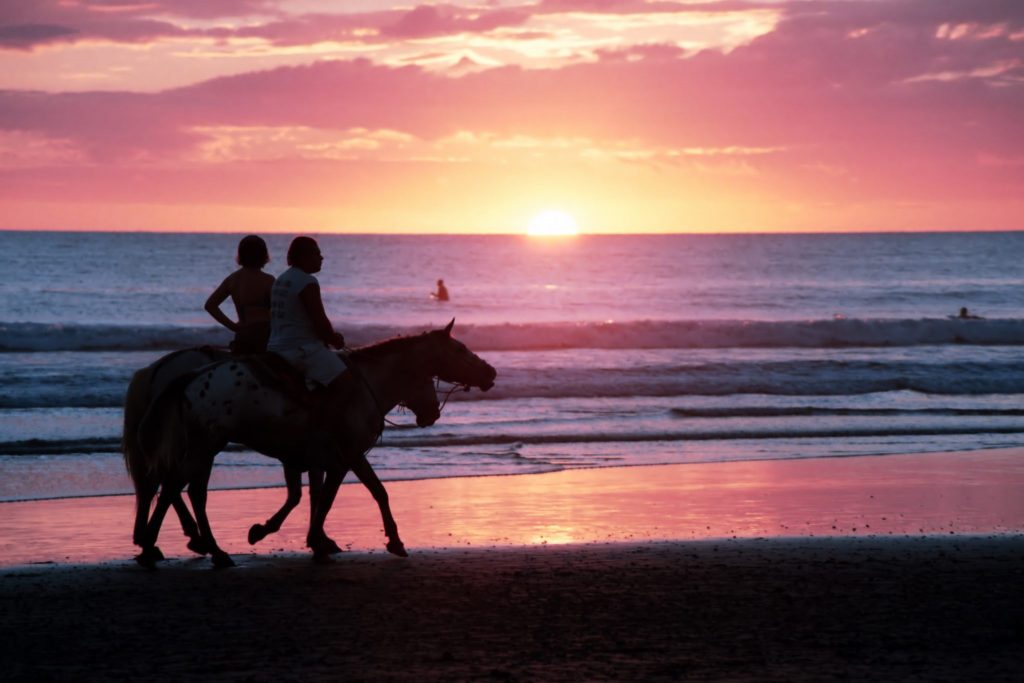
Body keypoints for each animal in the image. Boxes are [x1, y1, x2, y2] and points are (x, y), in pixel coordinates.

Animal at [134, 323, 493, 569]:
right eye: (460, 349)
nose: (490, 372)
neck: (367, 384)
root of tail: (190, 375)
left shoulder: (318, 458)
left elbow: (316, 497)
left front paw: (308, 539)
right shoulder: (346, 454)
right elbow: (369, 492)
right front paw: (392, 539)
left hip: (203, 447)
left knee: (180, 488)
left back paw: (186, 546)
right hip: (205, 446)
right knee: (177, 487)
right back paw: (175, 546)